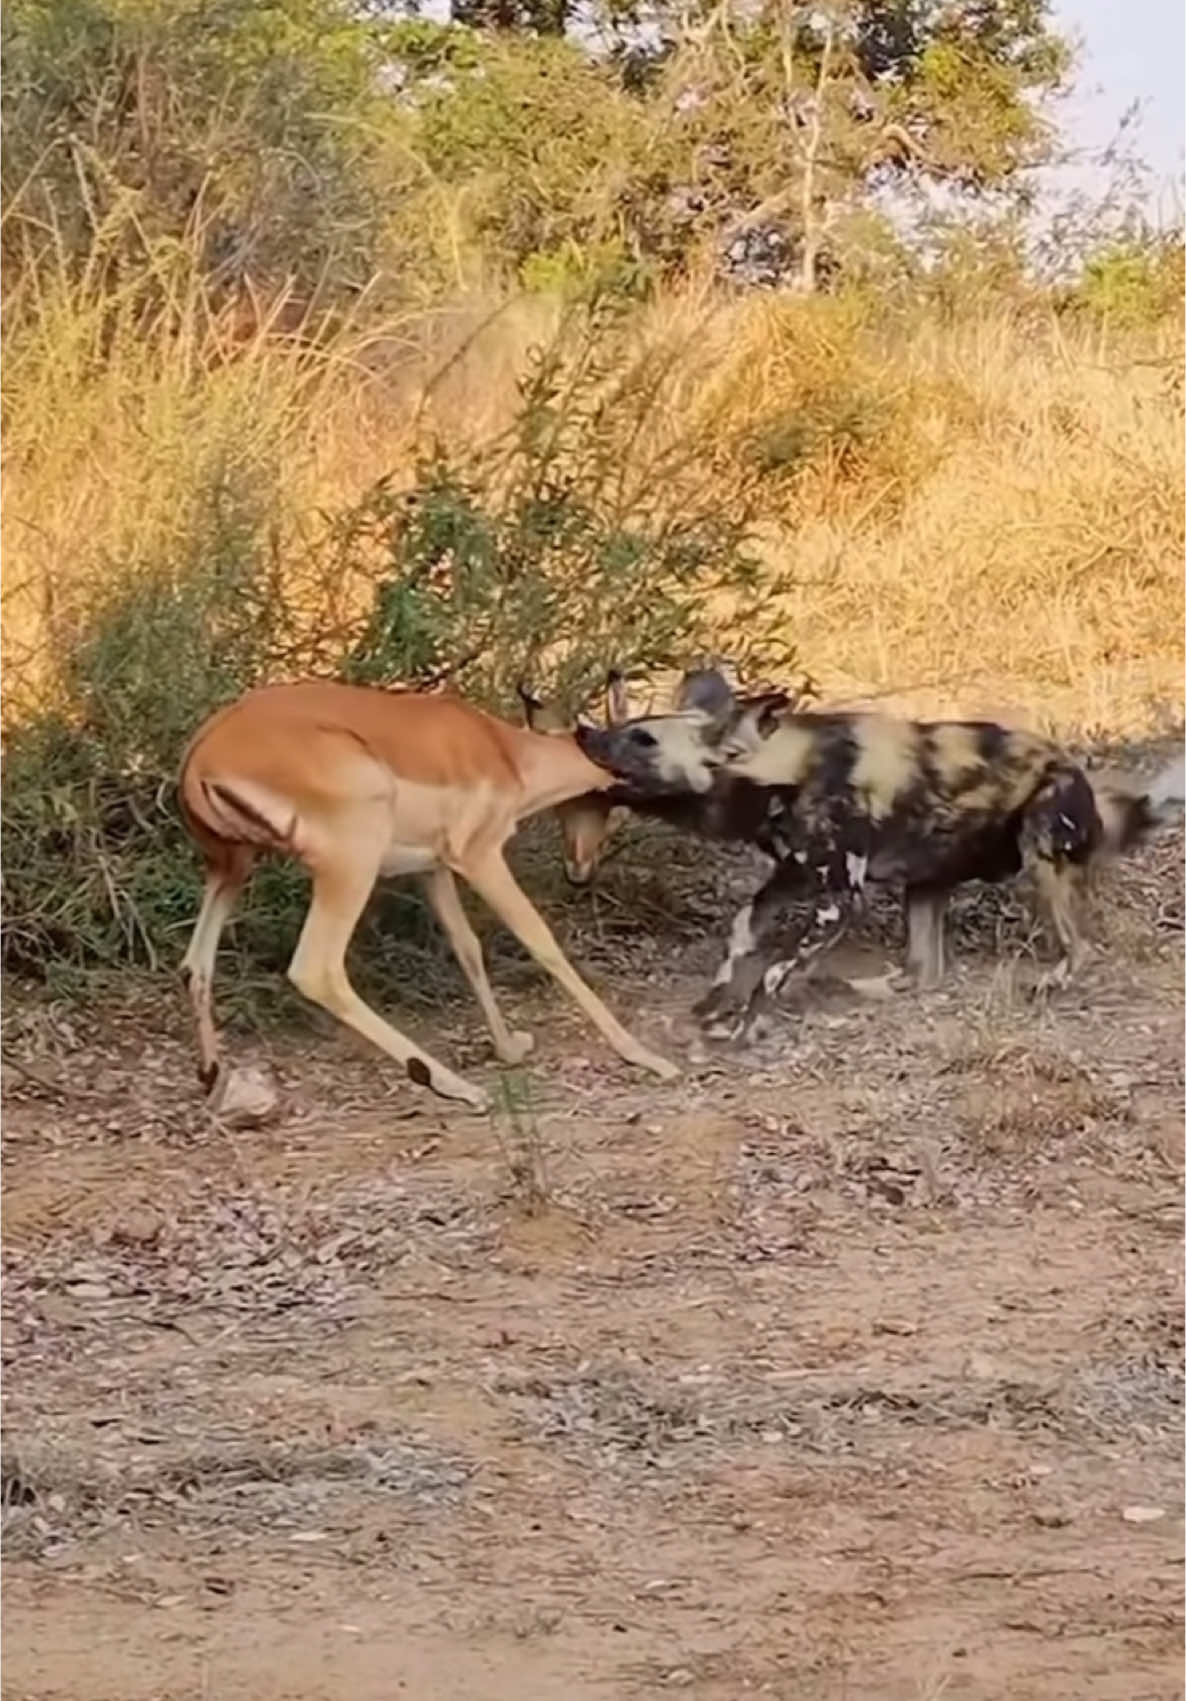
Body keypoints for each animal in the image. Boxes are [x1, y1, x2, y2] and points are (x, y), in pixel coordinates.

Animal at [568, 663, 1177, 1034]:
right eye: (626, 725)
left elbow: (773, 970)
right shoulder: (791, 875)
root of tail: (1077, 769)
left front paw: (745, 1025)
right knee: (923, 970)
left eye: (643, 739)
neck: (781, 774)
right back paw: (847, 986)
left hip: (1040, 852)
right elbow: (742, 932)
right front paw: (718, 1000)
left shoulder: (840, 900)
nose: (582, 734)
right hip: (924, 882)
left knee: (1080, 947)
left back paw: (1052, 981)